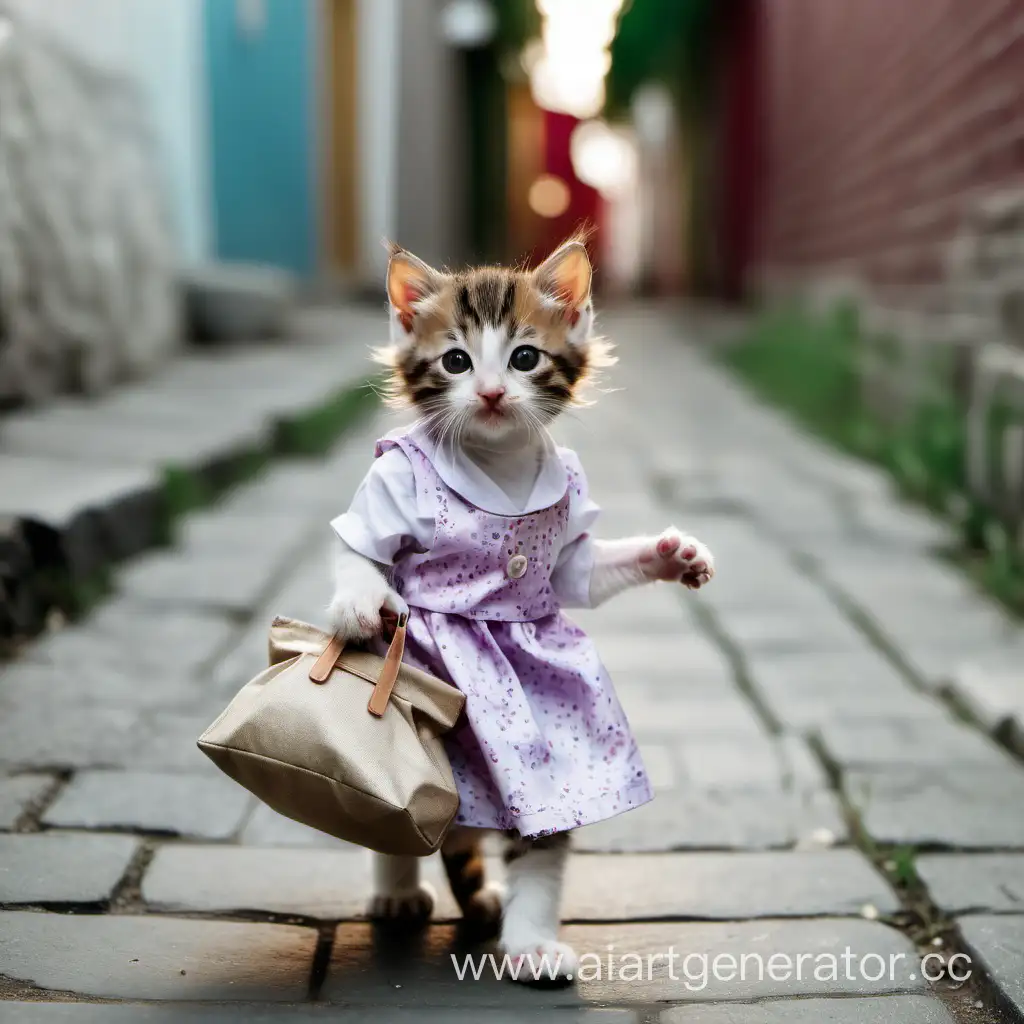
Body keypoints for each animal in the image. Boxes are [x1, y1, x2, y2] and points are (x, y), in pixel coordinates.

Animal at [327, 235, 712, 978]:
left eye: (524, 357)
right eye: (456, 361)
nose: (492, 391)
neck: (496, 464)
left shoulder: (569, 550)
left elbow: (587, 573)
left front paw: (673, 553)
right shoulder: (388, 485)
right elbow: (360, 550)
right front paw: (359, 603)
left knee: (526, 835)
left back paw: (526, 937)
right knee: (395, 824)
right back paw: (397, 892)